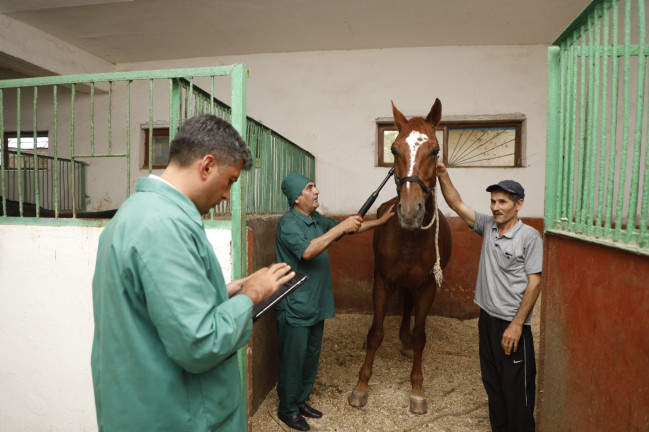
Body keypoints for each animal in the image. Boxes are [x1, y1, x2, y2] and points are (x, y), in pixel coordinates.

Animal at [350, 98, 450, 416]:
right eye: (394, 149)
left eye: (435, 150)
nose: (409, 212)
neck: (410, 238)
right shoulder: (382, 281)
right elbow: (376, 333)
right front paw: (361, 386)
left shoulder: (428, 286)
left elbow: (420, 337)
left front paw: (417, 390)